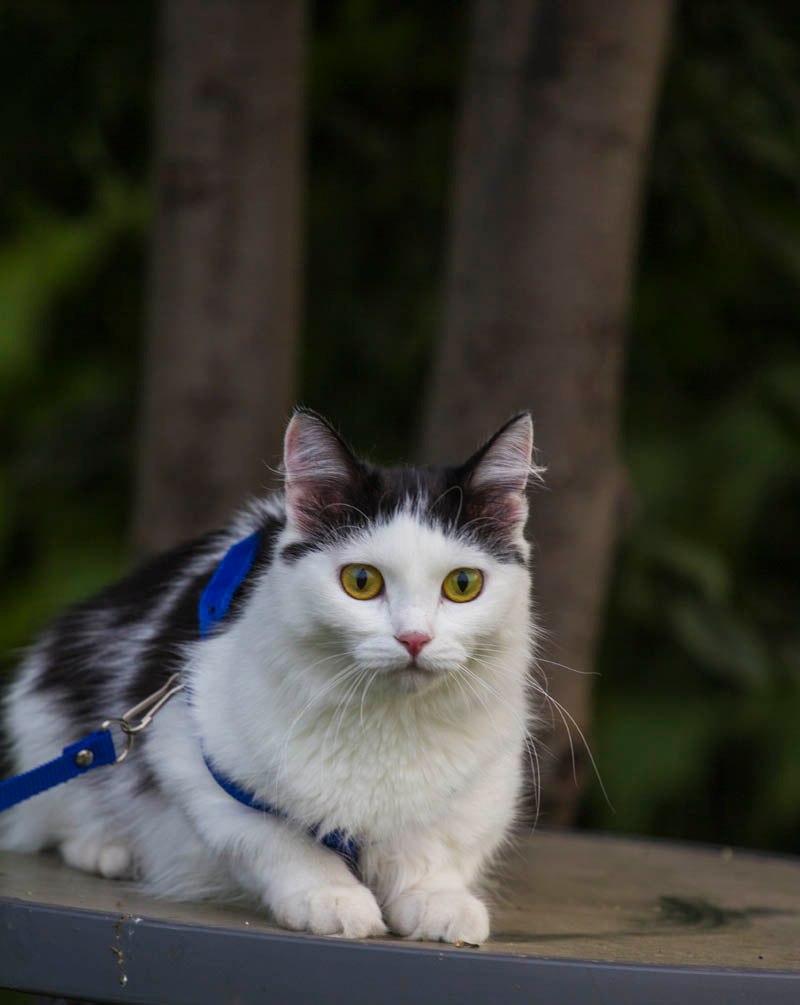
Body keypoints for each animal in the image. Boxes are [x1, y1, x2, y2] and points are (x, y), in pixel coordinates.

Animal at [1, 408, 539, 943]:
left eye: (463, 584)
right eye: (361, 581)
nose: (414, 638)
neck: (389, 721)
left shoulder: (484, 783)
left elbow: (437, 845)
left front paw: (437, 898)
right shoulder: (193, 758)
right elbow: (276, 839)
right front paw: (330, 895)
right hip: (50, 721)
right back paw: (109, 850)